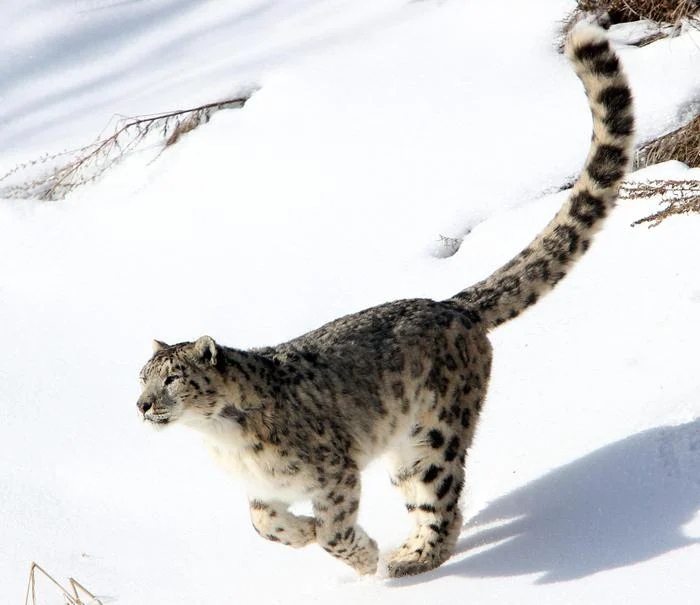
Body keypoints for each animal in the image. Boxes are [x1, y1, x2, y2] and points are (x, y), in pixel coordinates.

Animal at [137, 23, 634, 578]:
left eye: (171, 378)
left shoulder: (334, 469)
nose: (142, 405)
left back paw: (408, 559)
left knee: (441, 500)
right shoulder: (263, 489)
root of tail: (451, 305)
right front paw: (299, 532)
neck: (222, 440)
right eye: (141, 377)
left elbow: (333, 528)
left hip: (432, 434)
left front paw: (359, 555)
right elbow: (261, 521)